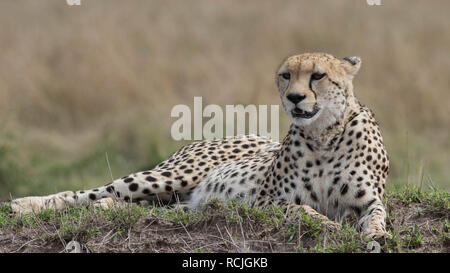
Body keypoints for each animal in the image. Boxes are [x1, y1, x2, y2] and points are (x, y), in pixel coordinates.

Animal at [9, 52, 390, 238]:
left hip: (182, 202)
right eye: (286, 75)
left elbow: (377, 216)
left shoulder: (368, 200)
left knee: (140, 206)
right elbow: (299, 210)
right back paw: (25, 205)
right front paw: (327, 224)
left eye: (317, 76)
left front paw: (375, 235)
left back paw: (107, 209)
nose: (295, 97)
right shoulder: (264, 201)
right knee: (89, 192)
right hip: (171, 177)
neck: (323, 135)